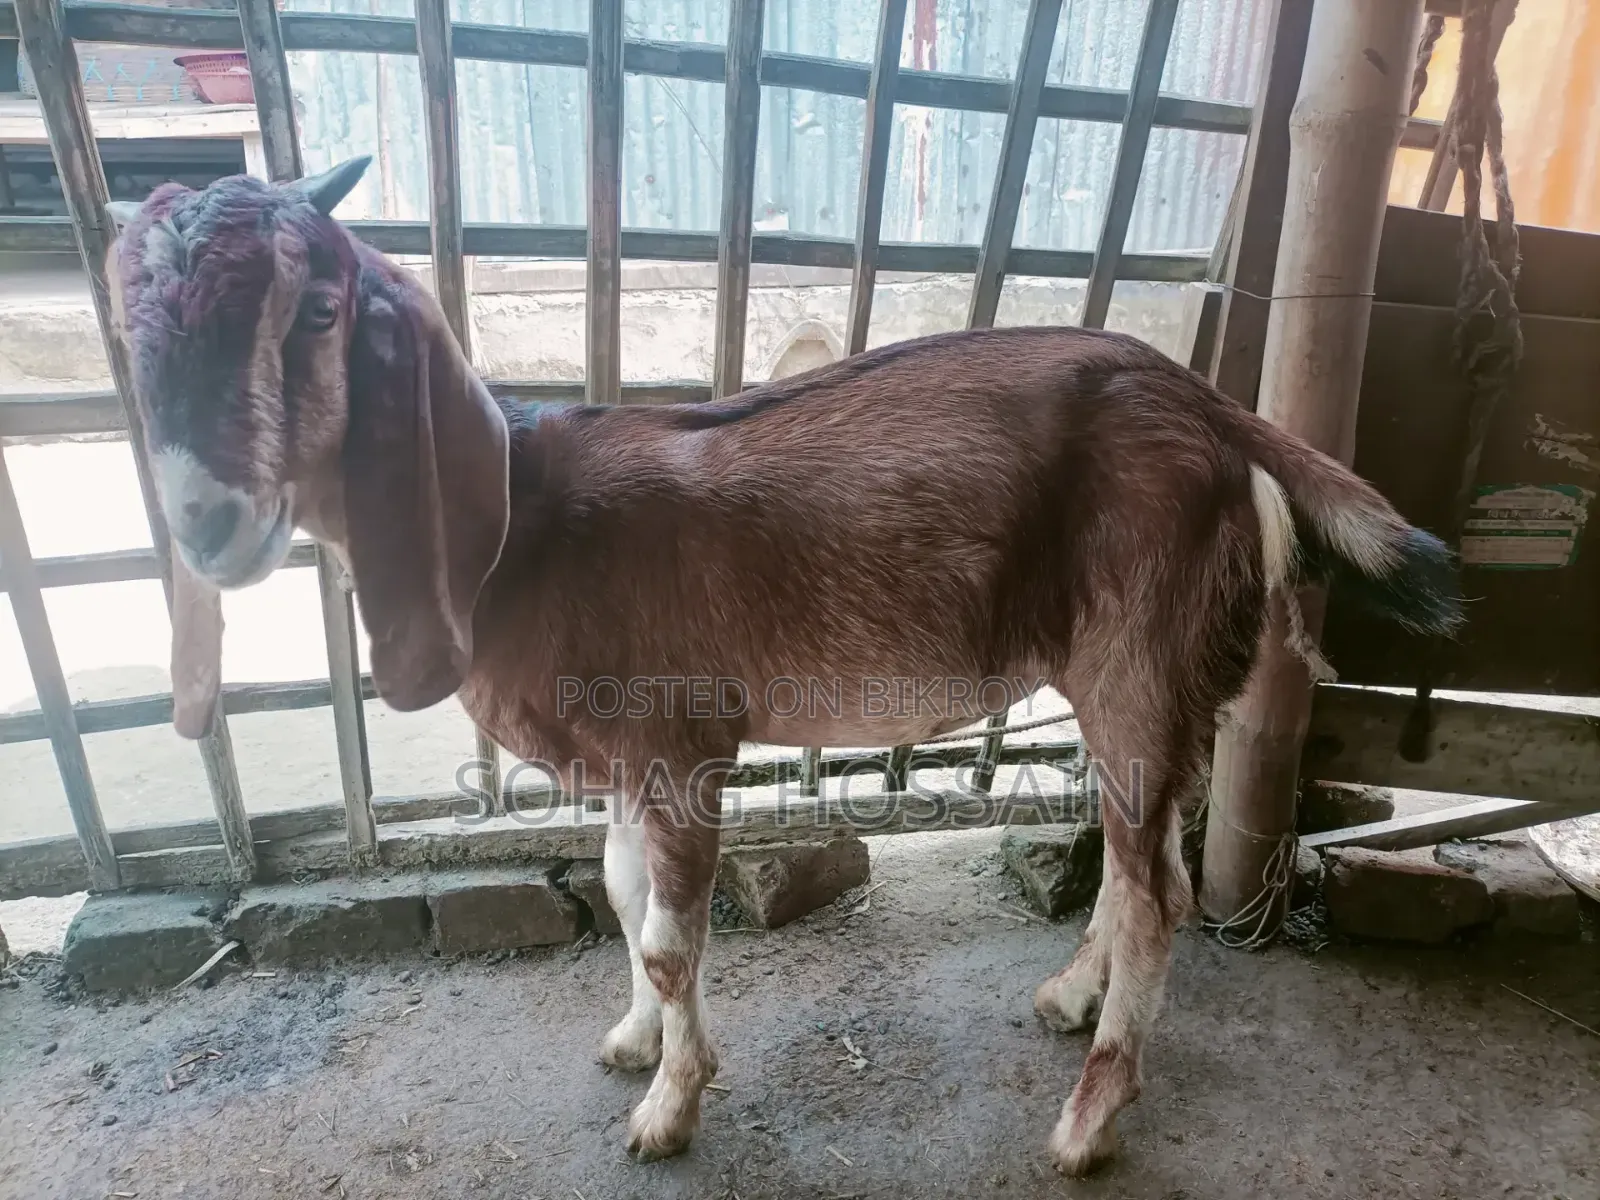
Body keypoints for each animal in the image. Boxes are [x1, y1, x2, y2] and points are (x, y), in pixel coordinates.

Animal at [106, 158, 1461, 1175]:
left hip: (1140, 655)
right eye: (131, 328)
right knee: (1149, 856)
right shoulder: (619, 757)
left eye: (319, 310)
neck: (521, 525)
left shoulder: (679, 740)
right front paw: (633, 1040)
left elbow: (668, 933)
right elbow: (619, 895)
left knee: (1157, 896)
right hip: (1161, 677)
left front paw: (667, 1108)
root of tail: (1217, 411)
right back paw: (1070, 1000)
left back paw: (1085, 1124)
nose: (210, 525)